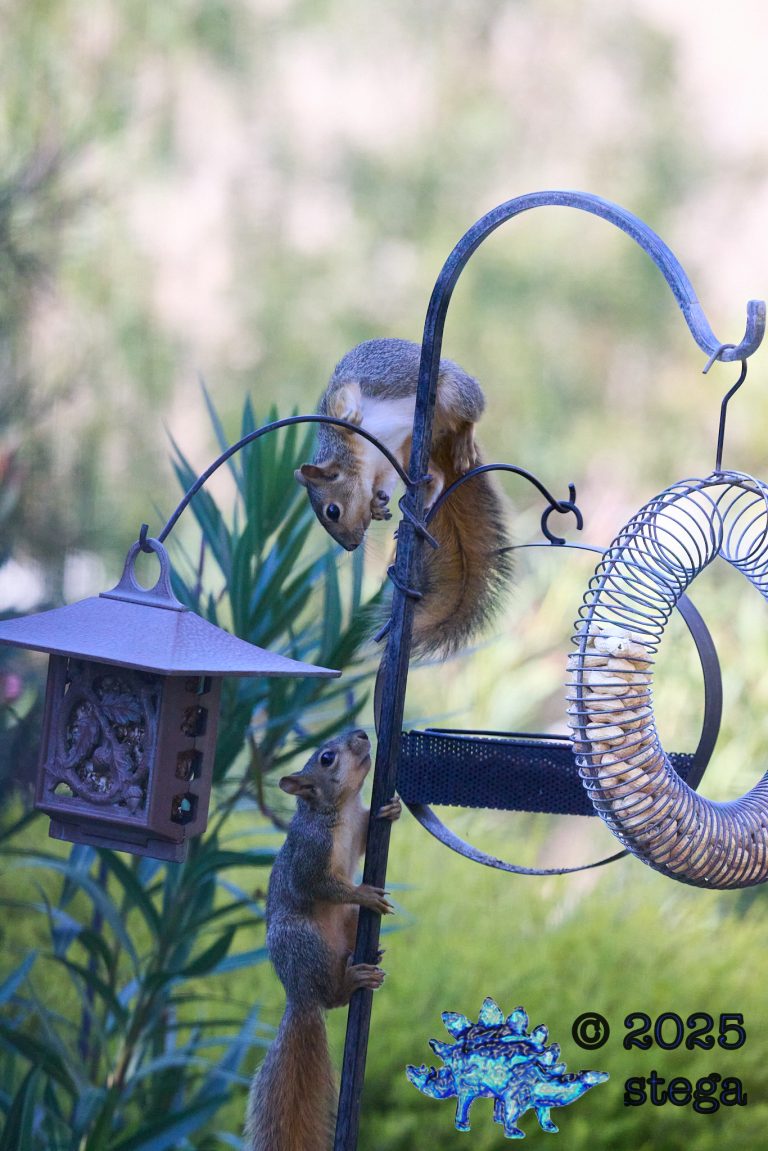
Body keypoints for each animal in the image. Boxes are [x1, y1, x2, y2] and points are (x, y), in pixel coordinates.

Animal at [244, 729, 401, 1151]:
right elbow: (320, 885)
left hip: (346, 927)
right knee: (331, 997)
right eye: (327, 758)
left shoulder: (358, 830)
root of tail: (299, 994)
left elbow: (364, 838)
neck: (339, 810)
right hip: (302, 941)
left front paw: (392, 809)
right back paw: (350, 980)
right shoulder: (310, 855)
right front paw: (364, 893)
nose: (362, 733)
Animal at [295, 337, 512, 658]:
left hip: (455, 391)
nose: (351, 546)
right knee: (439, 476)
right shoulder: (388, 459)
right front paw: (377, 505)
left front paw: (350, 414)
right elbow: (384, 482)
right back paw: (426, 500)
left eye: (332, 511)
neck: (363, 457)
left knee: (469, 415)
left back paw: (463, 441)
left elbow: (343, 396)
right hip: (411, 449)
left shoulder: (343, 402)